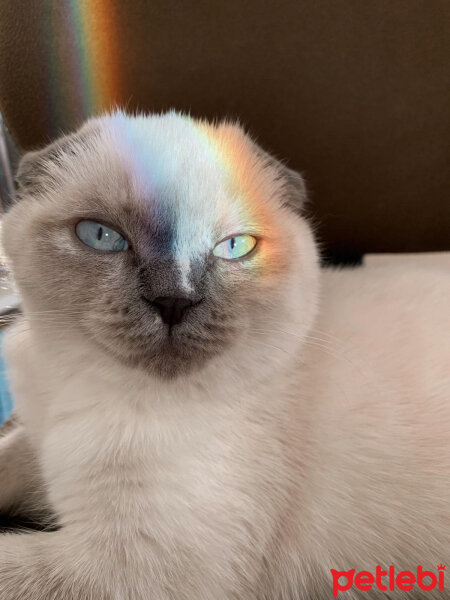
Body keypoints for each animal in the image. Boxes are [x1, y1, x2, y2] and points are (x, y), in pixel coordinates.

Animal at [0, 110, 448, 596]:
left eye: (235, 247)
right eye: (102, 236)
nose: (173, 301)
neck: (82, 386)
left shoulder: (128, 567)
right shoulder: (36, 444)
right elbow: (9, 452)